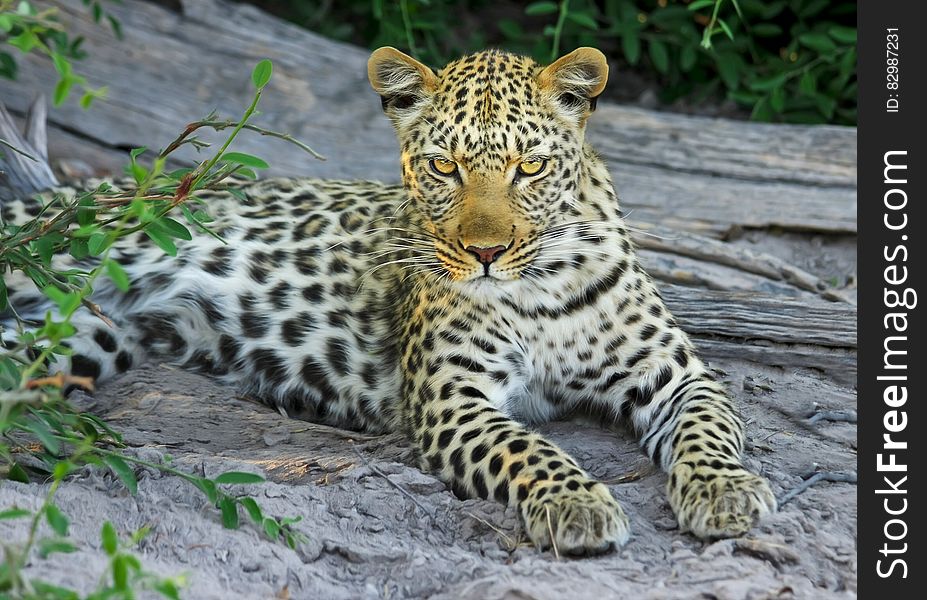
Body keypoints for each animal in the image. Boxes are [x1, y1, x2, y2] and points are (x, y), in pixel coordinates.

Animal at [1, 45, 776, 552]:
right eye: (443, 166)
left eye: (529, 167)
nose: (485, 253)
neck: (540, 284)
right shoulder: (452, 399)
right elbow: (529, 448)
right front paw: (576, 502)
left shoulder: (676, 373)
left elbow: (708, 428)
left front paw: (725, 491)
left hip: (80, 339)